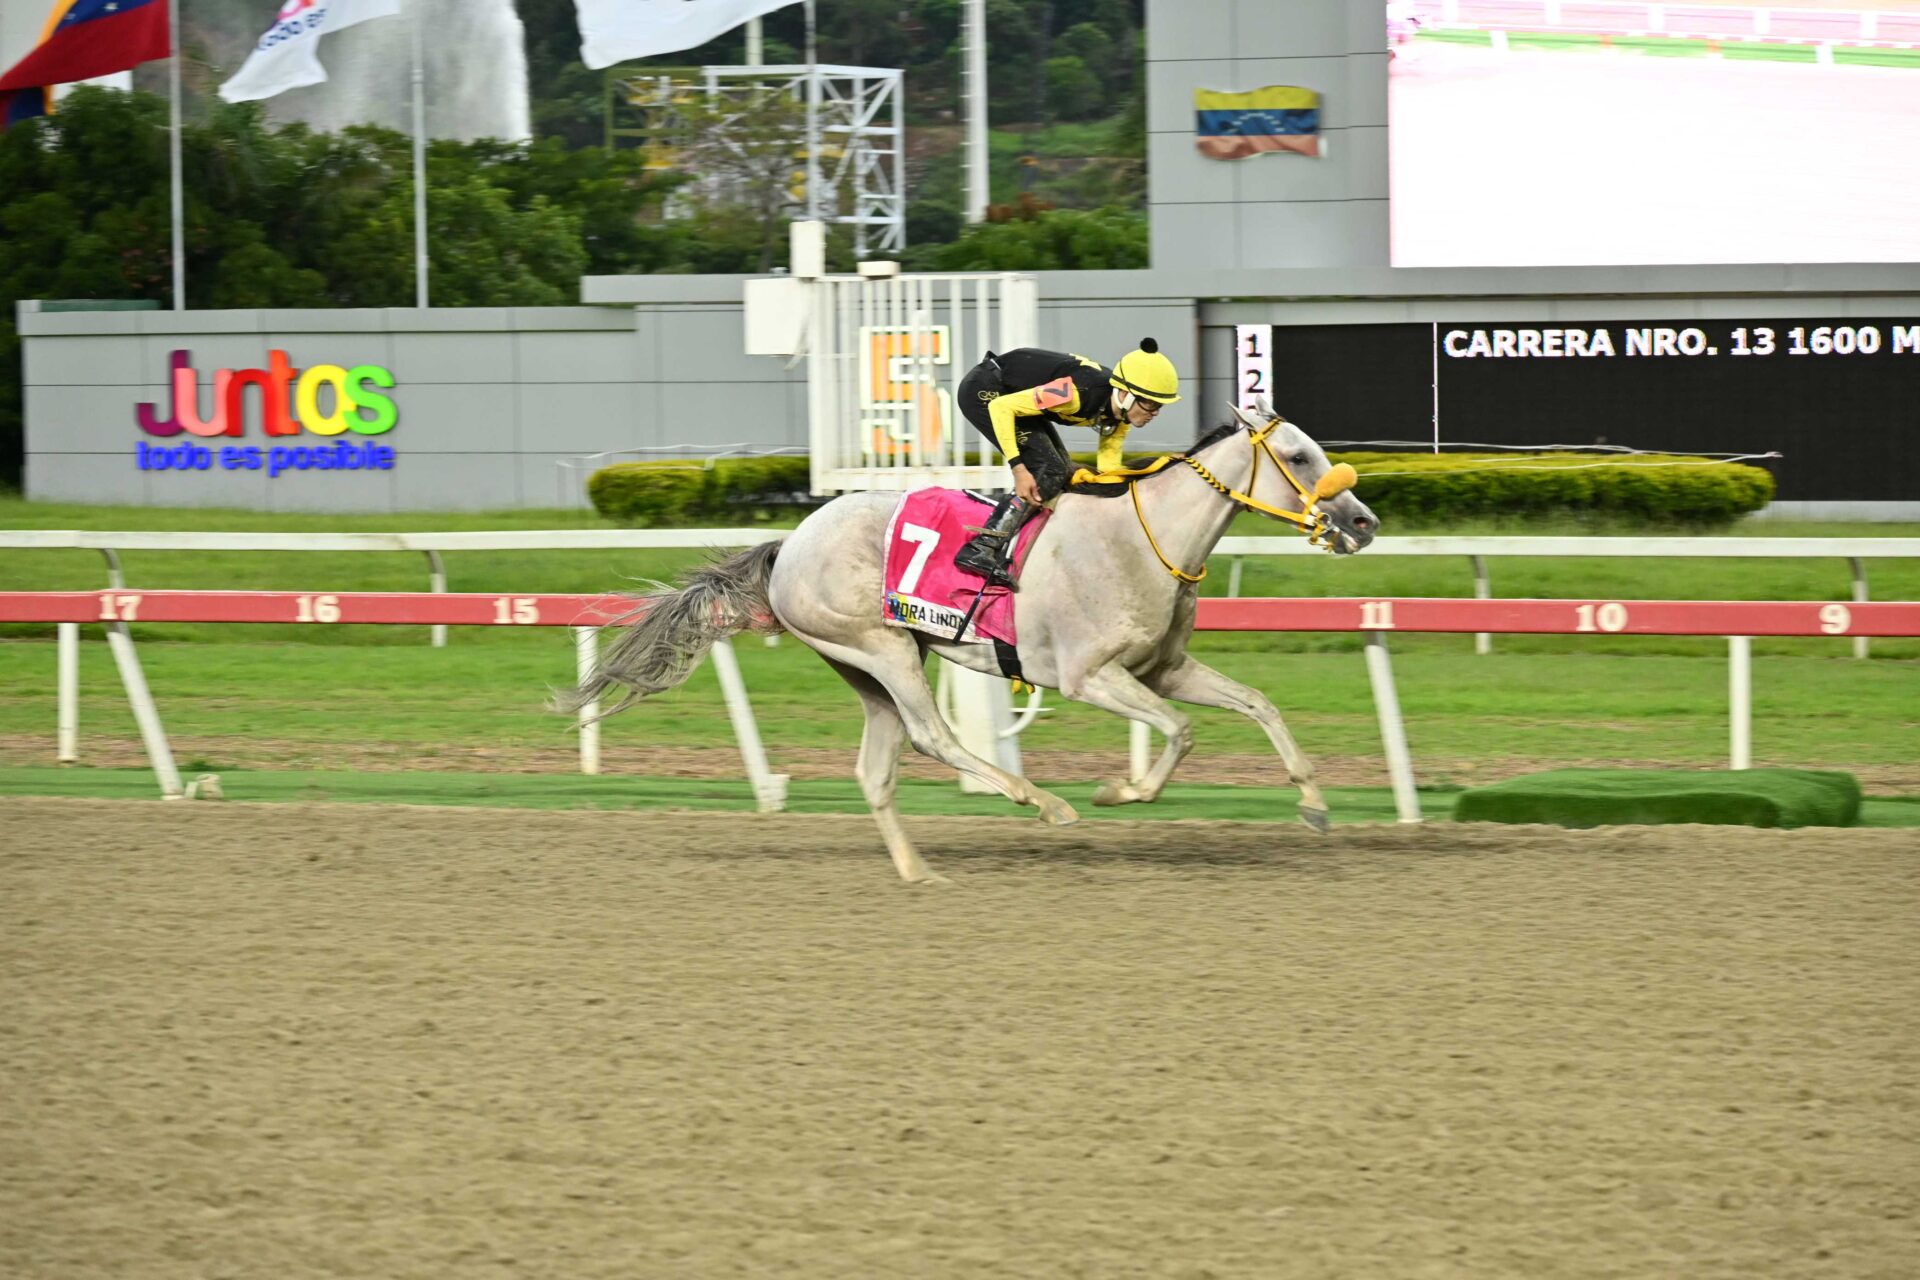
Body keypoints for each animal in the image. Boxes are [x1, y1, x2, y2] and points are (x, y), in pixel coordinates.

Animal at [560, 396, 1379, 883]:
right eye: (1299, 457)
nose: (1363, 521)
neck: (1143, 540)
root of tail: (788, 543)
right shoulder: (1091, 676)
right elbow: (1179, 733)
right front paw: (1120, 790)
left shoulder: (1164, 667)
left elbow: (1258, 704)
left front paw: (1314, 805)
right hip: (882, 648)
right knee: (933, 737)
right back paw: (1041, 801)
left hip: (866, 665)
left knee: (877, 769)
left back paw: (919, 871)